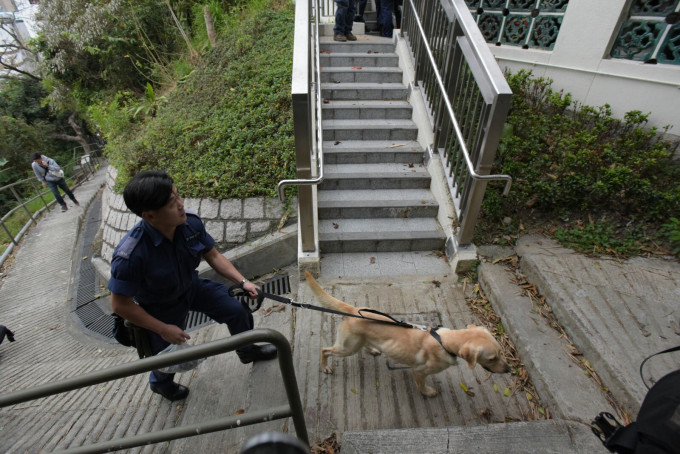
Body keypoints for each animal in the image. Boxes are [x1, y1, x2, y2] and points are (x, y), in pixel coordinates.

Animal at [306, 272, 510, 396]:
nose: (508, 369)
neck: (444, 341)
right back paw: (325, 367)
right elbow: (421, 385)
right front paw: (428, 392)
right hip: (346, 347)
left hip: (358, 342)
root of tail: (354, 309)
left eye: (502, 353)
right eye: (492, 358)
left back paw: (372, 349)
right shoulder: (419, 372)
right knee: (325, 350)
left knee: (364, 344)